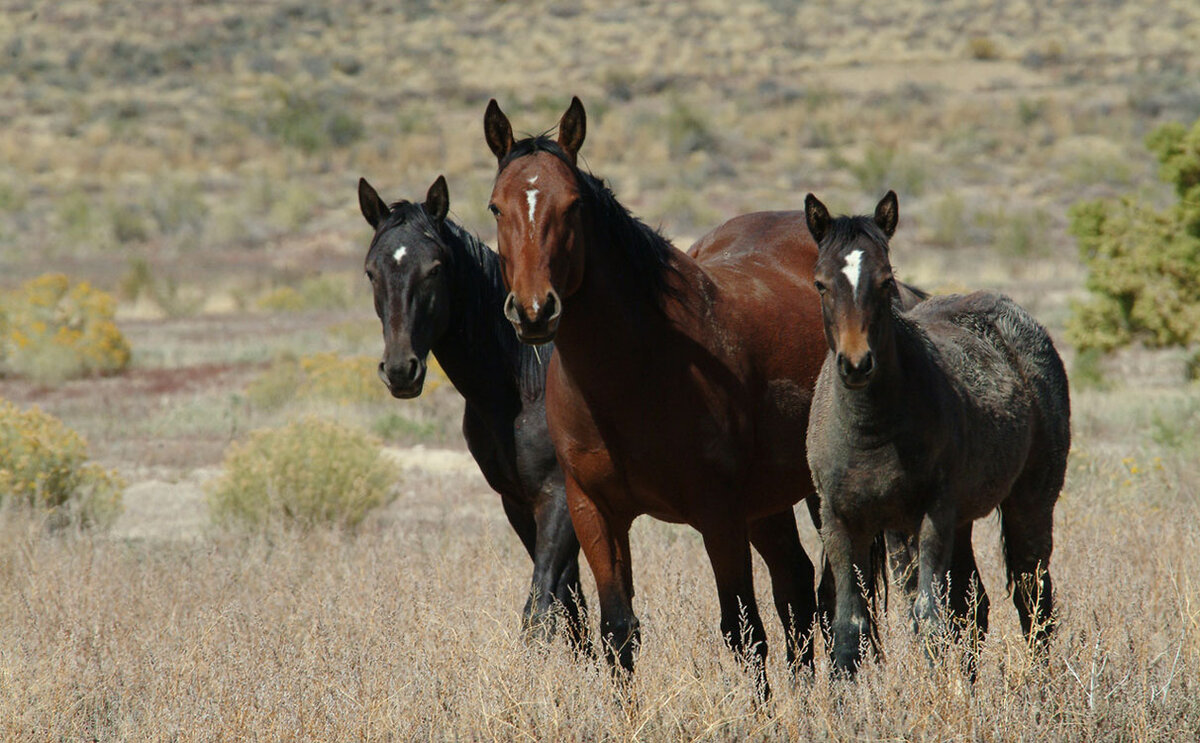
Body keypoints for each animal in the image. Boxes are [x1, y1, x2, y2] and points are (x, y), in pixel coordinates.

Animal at [355, 172, 585, 643]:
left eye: (435, 269)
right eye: (372, 272)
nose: (401, 370)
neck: (525, 387)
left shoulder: (558, 498)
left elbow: (540, 609)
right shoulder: (517, 502)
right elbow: (571, 609)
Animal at [806, 190, 1070, 672]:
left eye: (886, 281)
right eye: (820, 283)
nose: (856, 364)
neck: (872, 432)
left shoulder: (933, 515)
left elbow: (930, 618)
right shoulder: (841, 521)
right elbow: (850, 626)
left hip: (1029, 503)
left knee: (1033, 598)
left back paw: (1041, 684)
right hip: (955, 523)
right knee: (976, 607)